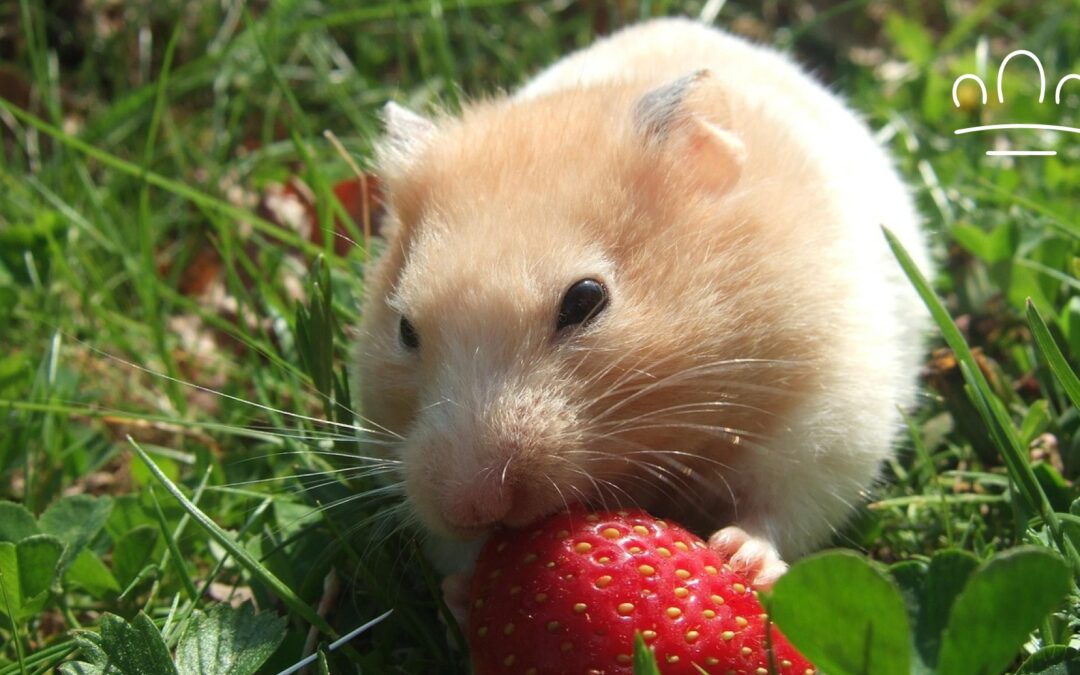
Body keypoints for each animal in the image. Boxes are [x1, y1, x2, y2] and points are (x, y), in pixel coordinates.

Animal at [355, 17, 928, 588]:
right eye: (405, 329)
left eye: (586, 299)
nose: (471, 506)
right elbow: (457, 554)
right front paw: (462, 587)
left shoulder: (828, 422)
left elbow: (781, 509)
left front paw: (738, 557)